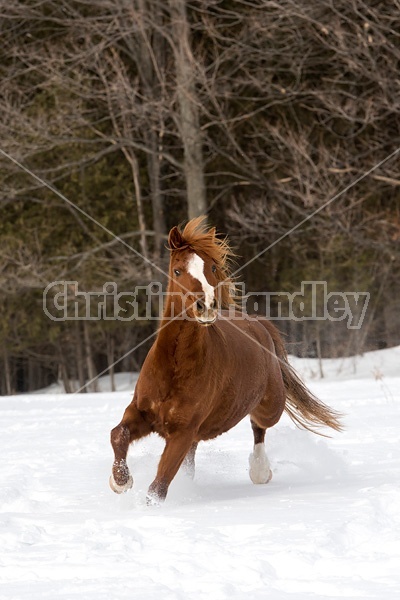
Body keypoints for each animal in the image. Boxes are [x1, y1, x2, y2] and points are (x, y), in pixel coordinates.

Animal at [109, 218, 340, 504]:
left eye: (212, 267)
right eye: (177, 270)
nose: (206, 305)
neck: (174, 366)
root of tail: (257, 324)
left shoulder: (184, 432)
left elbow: (158, 487)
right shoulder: (142, 413)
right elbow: (118, 434)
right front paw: (121, 481)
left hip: (270, 406)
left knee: (259, 427)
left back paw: (260, 471)